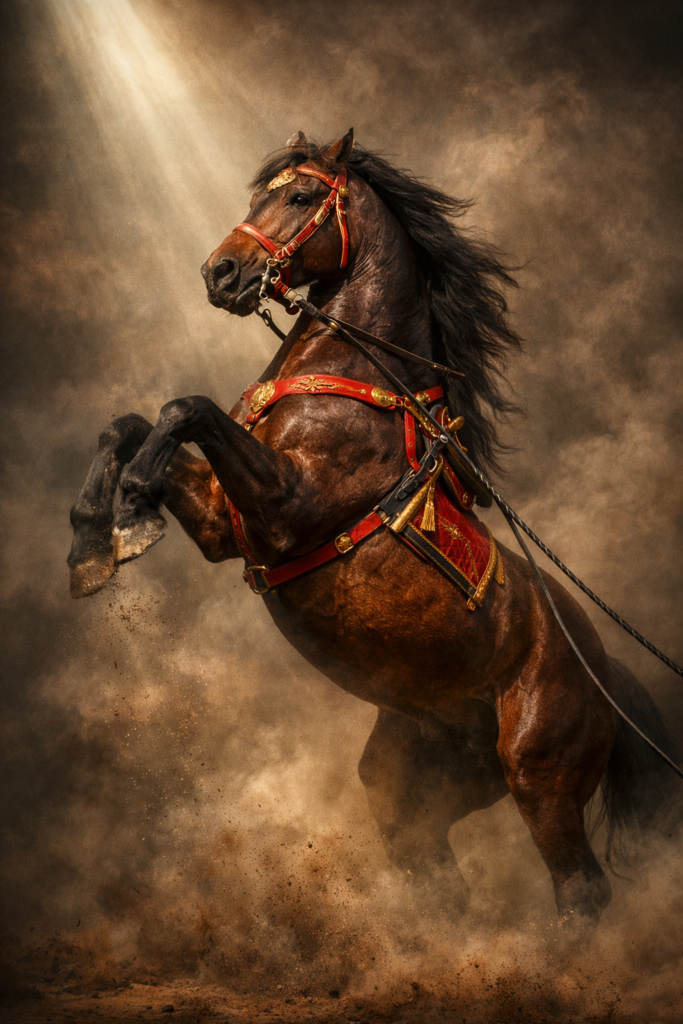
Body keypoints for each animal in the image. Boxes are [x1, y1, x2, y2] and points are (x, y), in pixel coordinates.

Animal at [68, 129, 679, 926]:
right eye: (258, 196)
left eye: (301, 196)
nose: (220, 272)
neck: (355, 382)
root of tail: (602, 670)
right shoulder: (224, 524)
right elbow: (130, 424)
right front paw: (92, 544)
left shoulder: (287, 505)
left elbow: (183, 408)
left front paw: (132, 511)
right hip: (416, 782)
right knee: (435, 873)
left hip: (538, 769)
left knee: (579, 891)